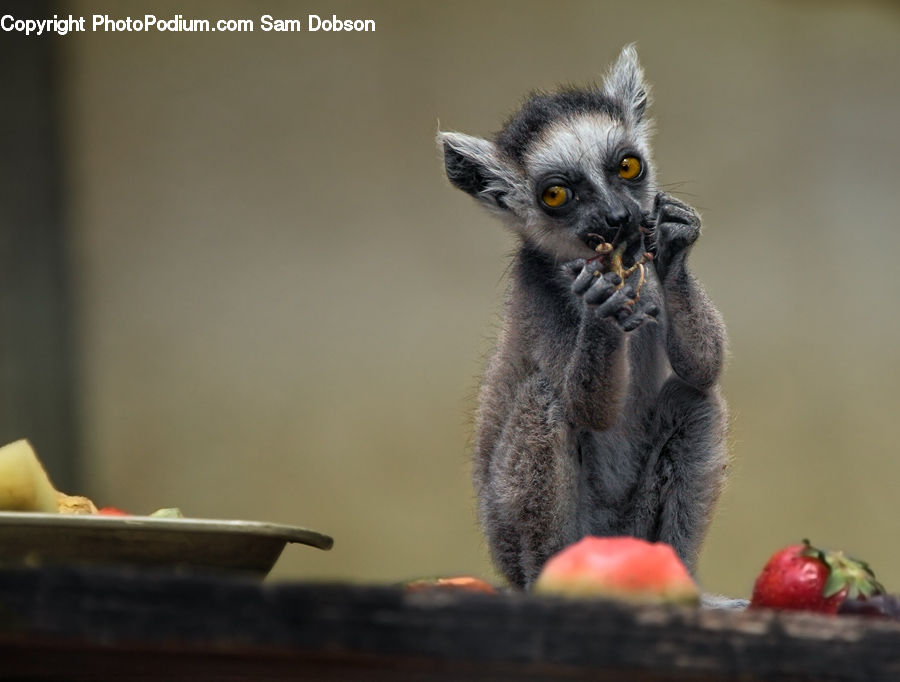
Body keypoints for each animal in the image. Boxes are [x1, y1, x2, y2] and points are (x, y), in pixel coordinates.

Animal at [438, 45, 728, 589]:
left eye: (628, 166)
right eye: (557, 194)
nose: (619, 217)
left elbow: (704, 367)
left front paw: (677, 239)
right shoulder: (542, 295)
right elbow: (586, 406)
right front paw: (600, 305)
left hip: (635, 526)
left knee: (694, 399)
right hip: (514, 537)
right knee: (544, 399)